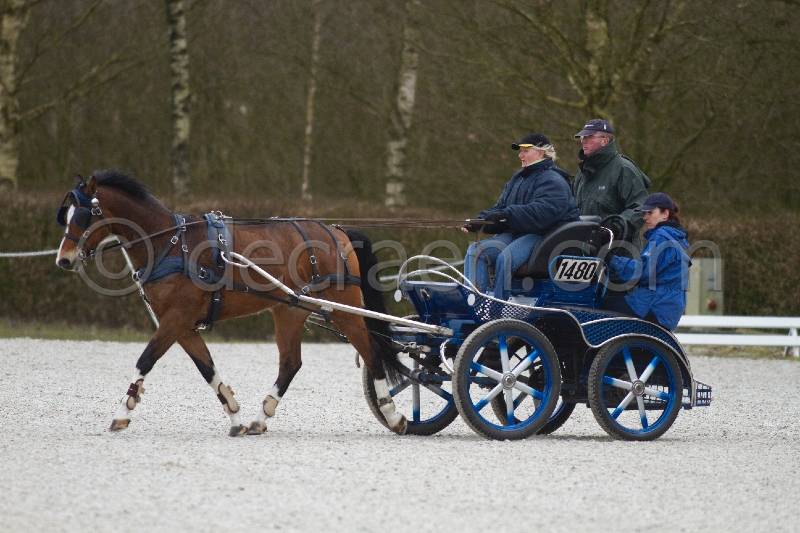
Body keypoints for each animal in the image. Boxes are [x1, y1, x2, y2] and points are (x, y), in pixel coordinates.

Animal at [55, 170, 407, 436]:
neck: (170, 243)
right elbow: (207, 368)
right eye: (66, 216)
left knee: (371, 351)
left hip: (345, 309)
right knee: (290, 363)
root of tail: (336, 230)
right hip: (289, 309)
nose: (64, 260)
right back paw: (261, 417)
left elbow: (146, 359)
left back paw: (392, 414)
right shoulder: (182, 325)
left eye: (84, 216)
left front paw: (122, 412)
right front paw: (235, 416)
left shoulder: (175, 319)